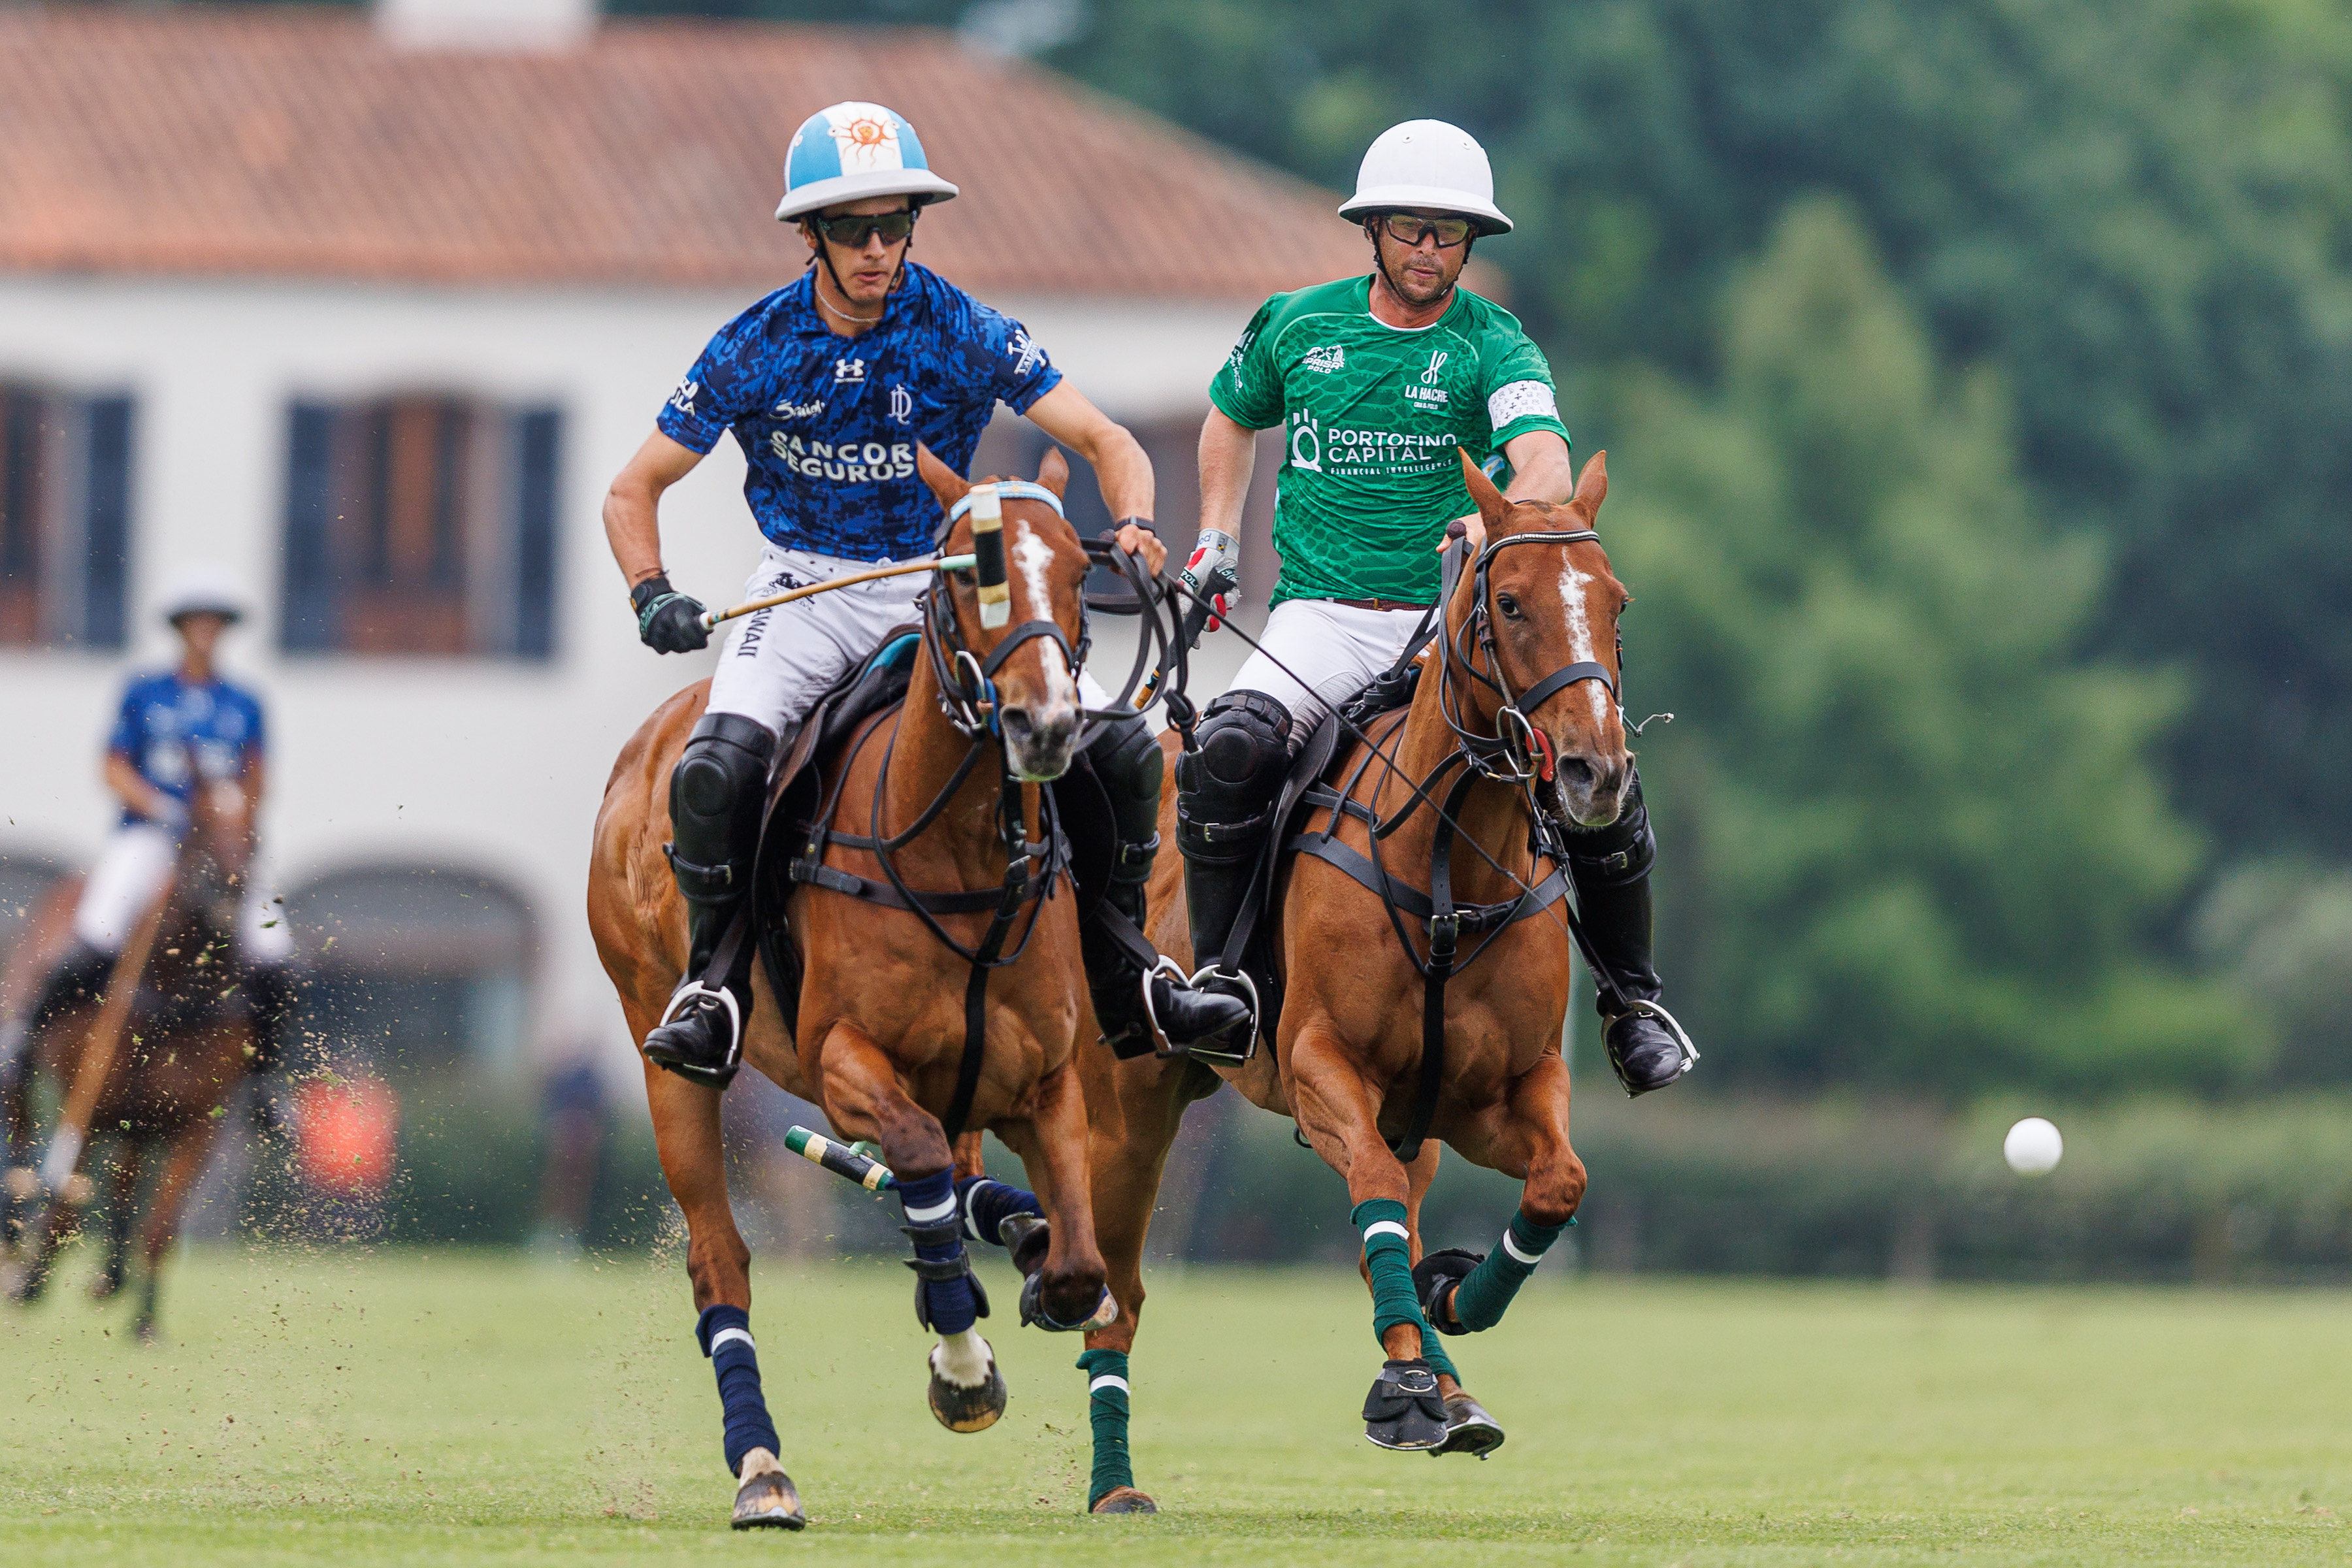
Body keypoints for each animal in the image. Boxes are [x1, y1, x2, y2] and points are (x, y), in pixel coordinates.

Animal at [3, 785, 275, 1335]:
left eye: (255, 833)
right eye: (198, 828)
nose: (231, 890)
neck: (175, 989)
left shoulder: (197, 1124)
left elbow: (160, 1224)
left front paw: (146, 1323)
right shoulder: (89, 1107)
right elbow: (65, 1206)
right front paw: (30, 1283)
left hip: (142, 1114)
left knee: (123, 1185)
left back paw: (109, 1278)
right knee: (22, 1125)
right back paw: (21, 1244)